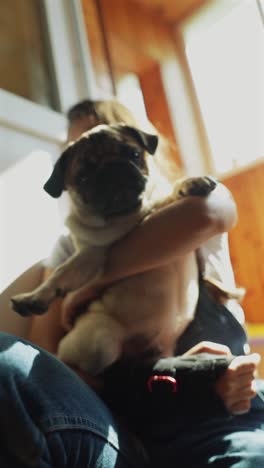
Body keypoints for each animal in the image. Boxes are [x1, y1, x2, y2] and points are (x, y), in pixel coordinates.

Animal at [11, 123, 218, 372]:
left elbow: (167, 194)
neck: (129, 216)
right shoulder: (89, 256)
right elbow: (61, 273)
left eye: (134, 154)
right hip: (100, 342)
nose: (112, 169)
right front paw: (36, 297)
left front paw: (190, 183)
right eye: (83, 177)